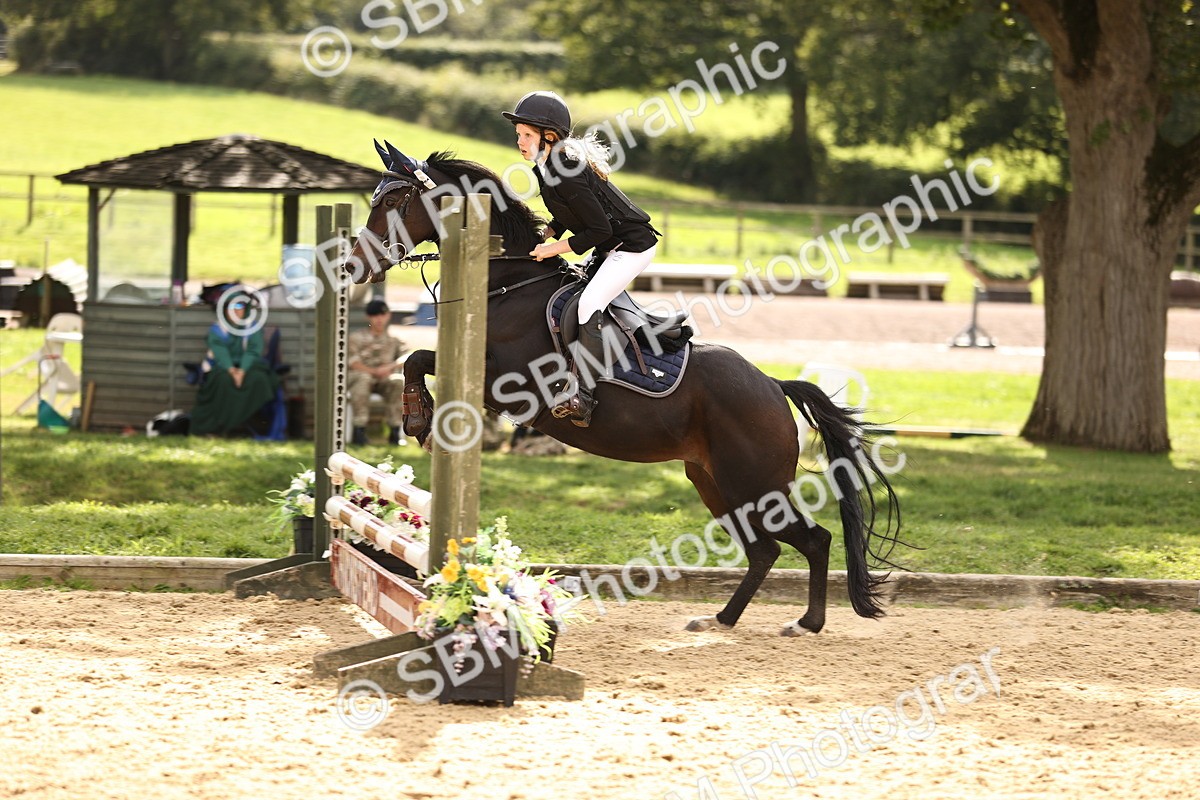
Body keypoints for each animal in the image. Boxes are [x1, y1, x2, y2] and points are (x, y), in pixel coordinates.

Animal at [344, 142, 903, 636]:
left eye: (393, 202)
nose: (352, 266)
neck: (504, 284)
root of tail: (772, 385)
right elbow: (416, 359)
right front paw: (419, 418)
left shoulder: (507, 385)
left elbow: (416, 358)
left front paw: (418, 420)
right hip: (714, 481)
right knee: (765, 549)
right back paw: (720, 620)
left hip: (755, 482)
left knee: (814, 539)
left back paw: (806, 622)